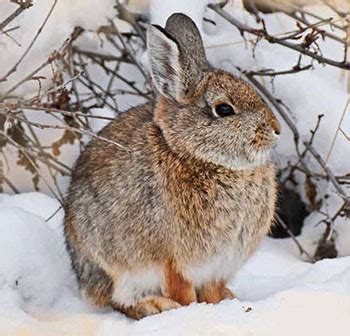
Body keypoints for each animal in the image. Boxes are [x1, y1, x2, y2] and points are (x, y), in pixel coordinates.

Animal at [64, 11, 280, 318]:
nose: (276, 129)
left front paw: (221, 304)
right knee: (121, 300)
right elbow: (182, 289)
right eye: (224, 109)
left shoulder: (218, 266)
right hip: (118, 268)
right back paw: (156, 306)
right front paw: (190, 311)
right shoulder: (173, 261)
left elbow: (212, 290)